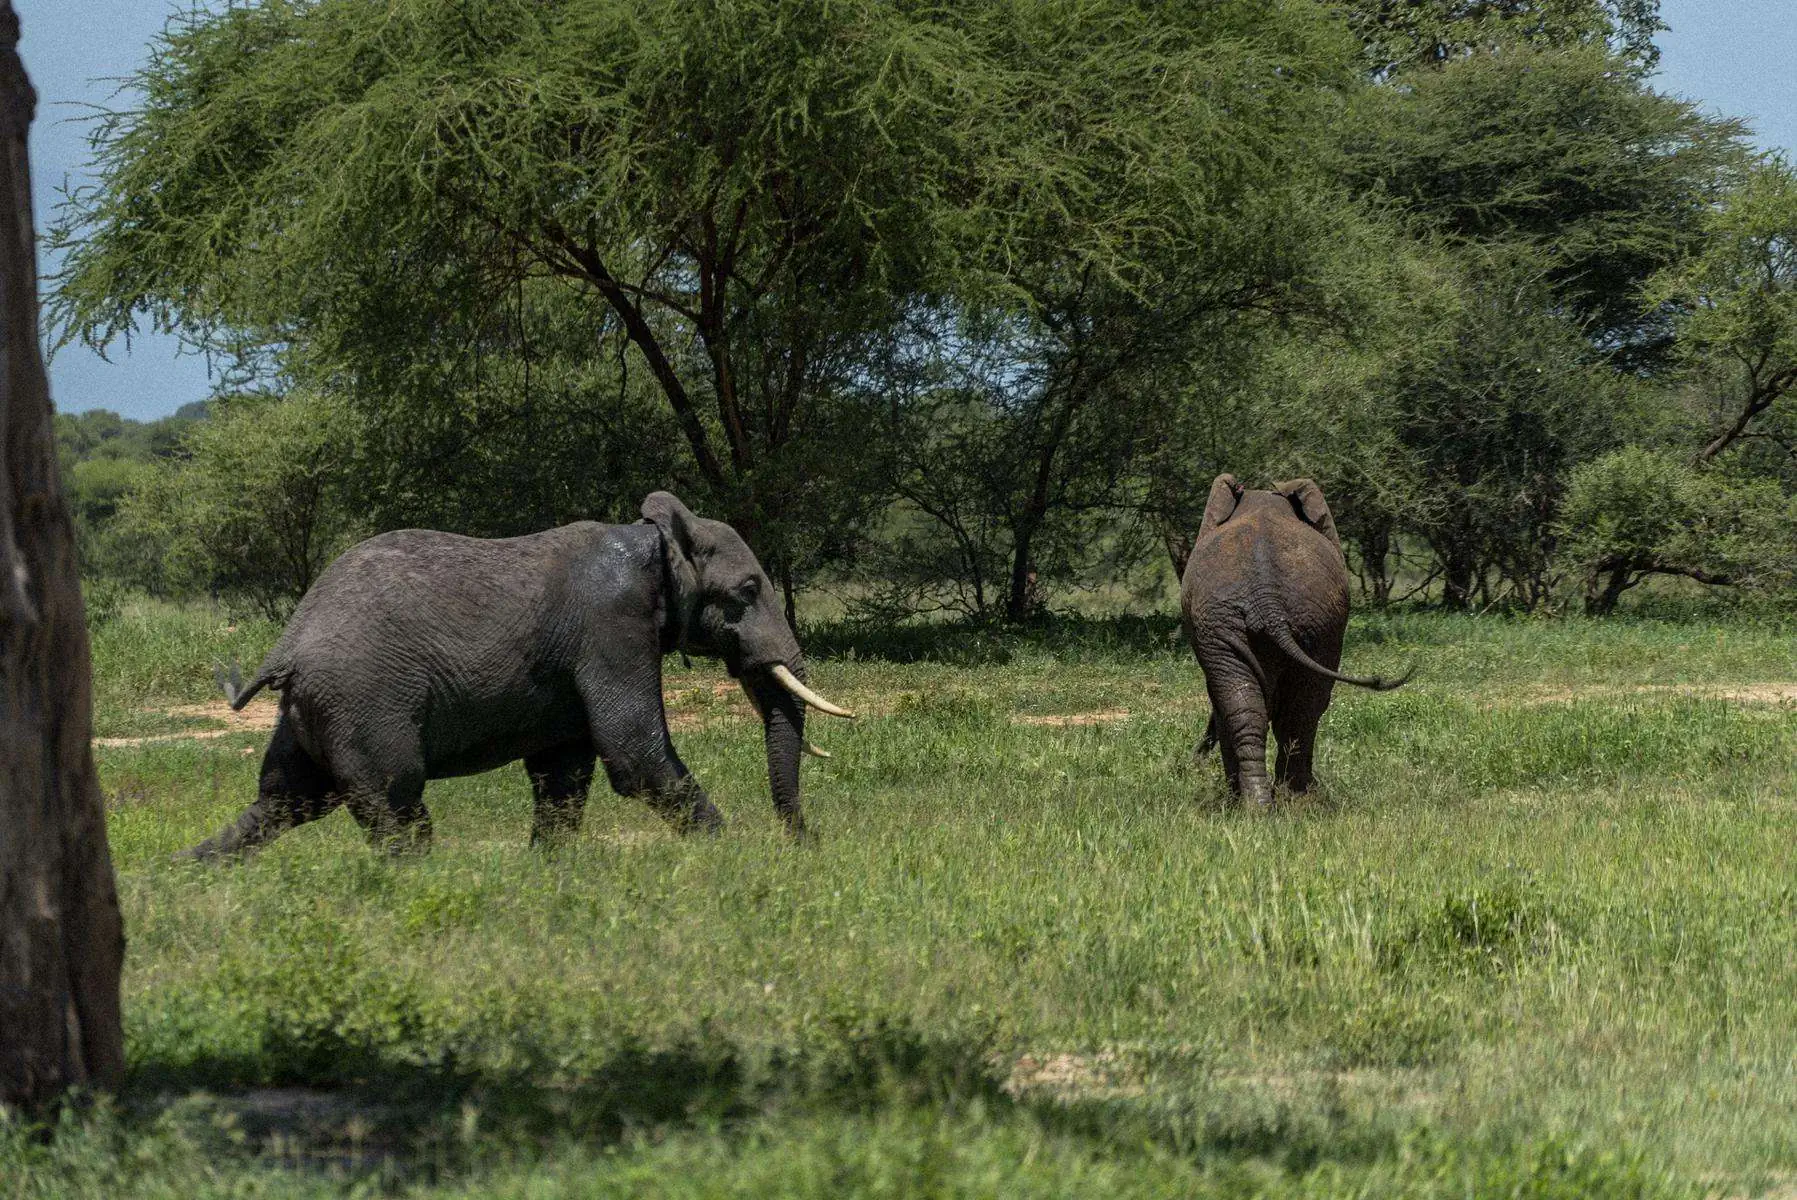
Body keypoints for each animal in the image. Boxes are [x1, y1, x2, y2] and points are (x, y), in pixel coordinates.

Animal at [178, 488, 851, 862]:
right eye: (748, 590)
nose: (807, 844)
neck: (654, 541)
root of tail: (286, 645)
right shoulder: (612, 627)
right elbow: (633, 752)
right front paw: (730, 855)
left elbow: (563, 771)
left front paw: (546, 872)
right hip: (362, 702)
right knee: (395, 800)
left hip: (314, 709)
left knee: (285, 801)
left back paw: (185, 874)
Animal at [1178, 474, 1416, 804]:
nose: (1190, 763)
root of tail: (1266, 599)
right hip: (1292, 623)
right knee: (1293, 709)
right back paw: (1280, 801)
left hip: (1301, 623)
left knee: (1273, 709)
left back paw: (1269, 803)